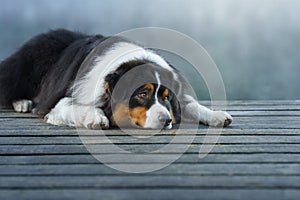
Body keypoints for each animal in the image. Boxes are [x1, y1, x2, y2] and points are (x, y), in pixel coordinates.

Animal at [0, 29, 232, 130]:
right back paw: (22, 102)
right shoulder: (58, 103)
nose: (166, 120)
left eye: (166, 97)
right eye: (142, 94)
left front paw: (216, 115)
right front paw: (97, 117)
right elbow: (77, 106)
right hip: (25, 67)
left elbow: (191, 105)